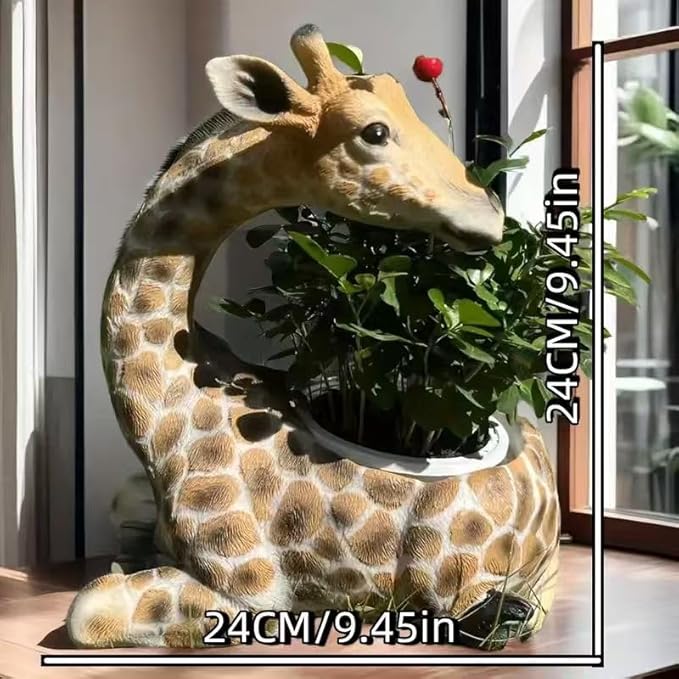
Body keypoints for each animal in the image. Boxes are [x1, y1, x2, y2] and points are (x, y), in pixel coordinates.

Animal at [67, 25, 559, 651]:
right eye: (375, 131)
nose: (488, 215)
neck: (161, 420)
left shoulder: (250, 585)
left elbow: (88, 610)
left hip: (457, 582)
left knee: (502, 617)